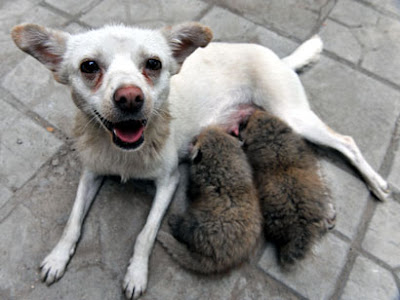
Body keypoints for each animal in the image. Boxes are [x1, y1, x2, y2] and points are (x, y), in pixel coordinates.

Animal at [156, 126, 262, 274]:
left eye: (197, 140)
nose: (194, 137)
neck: (226, 162)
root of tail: (217, 261)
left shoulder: (199, 183)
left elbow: (192, 190)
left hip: (199, 225)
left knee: (185, 231)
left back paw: (175, 222)